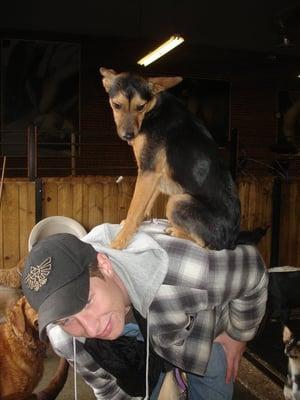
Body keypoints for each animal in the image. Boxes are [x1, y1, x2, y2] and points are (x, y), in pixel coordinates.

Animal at [101, 68, 241, 250]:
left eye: (140, 107)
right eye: (117, 105)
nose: (129, 136)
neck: (153, 109)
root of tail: (232, 241)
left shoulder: (148, 171)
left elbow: (134, 210)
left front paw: (120, 241)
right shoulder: (154, 175)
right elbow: (144, 207)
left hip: (178, 201)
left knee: (204, 243)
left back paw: (176, 231)